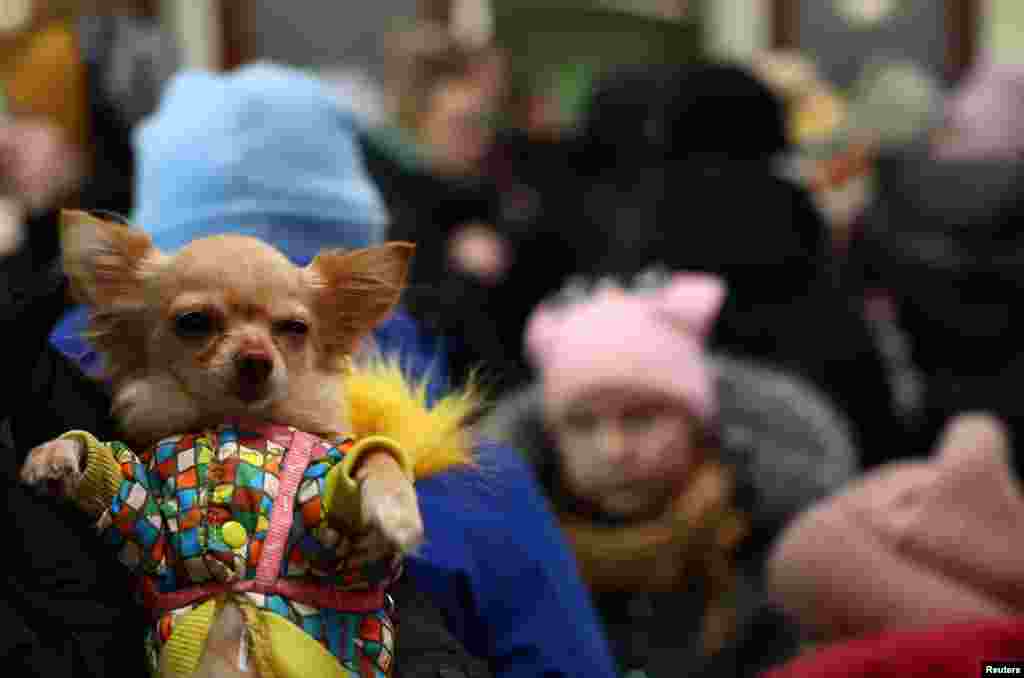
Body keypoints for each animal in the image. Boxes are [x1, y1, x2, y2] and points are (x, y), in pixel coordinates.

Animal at [24, 209, 423, 675]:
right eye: (194, 321)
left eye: (295, 328)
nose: (257, 359)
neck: (237, 426)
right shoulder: (149, 521)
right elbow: (117, 481)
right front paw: (58, 453)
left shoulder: (328, 532)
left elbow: (374, 458)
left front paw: (396, 507)